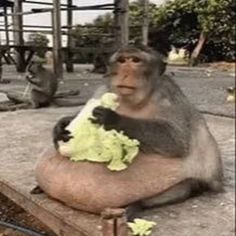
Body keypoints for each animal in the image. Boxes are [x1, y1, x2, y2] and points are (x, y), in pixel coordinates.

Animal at [41, 44, 223, 219]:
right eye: (122, 61)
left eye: (135, 60)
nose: (125, 74)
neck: (133, 101)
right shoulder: (103, 89)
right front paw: (62, 125)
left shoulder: (168, 93)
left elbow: (176, 140)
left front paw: (112, 119)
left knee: (186, 186)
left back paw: (137, 204)